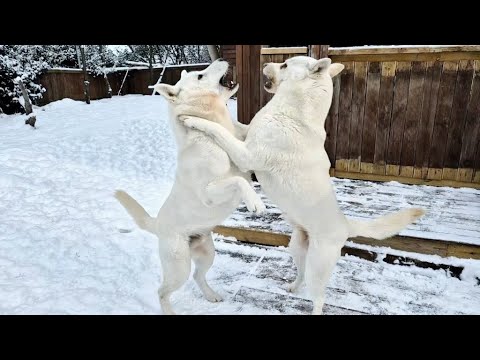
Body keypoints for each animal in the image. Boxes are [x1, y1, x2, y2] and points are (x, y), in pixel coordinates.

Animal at [114, 57, 264, 314]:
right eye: (200, 76)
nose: (221, 58)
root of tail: (157, 224)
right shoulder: (209, 192)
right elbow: (237, 180)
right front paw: (254, 201)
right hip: (179, 267)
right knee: (162, 291)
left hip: (207, 253)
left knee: (198, 276)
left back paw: (211, 296)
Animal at [179, 54, 424, 314]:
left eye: (285, 64)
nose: (265, 65)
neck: (294, 112)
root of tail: (346, 224)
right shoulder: (246, 135)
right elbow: (236, 126)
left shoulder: (246, 155)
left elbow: (218, 130)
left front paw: (193, 119)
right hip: (297, 246)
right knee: (302, 273)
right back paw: (293, 287)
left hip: (318, 265)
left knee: (319, 296)